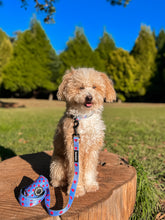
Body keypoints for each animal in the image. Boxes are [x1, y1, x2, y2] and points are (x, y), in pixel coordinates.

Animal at [50, 68, 116, 197]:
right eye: (81, 87)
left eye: (94, 87)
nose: (89, 97)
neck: (84, 116)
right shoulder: (73, 147)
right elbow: (76, 171)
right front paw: (77, 189)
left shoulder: (93, 148)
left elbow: (89, 169)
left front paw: (90, 185)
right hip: (57, 164)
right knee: (56, 178)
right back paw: (59, 182)